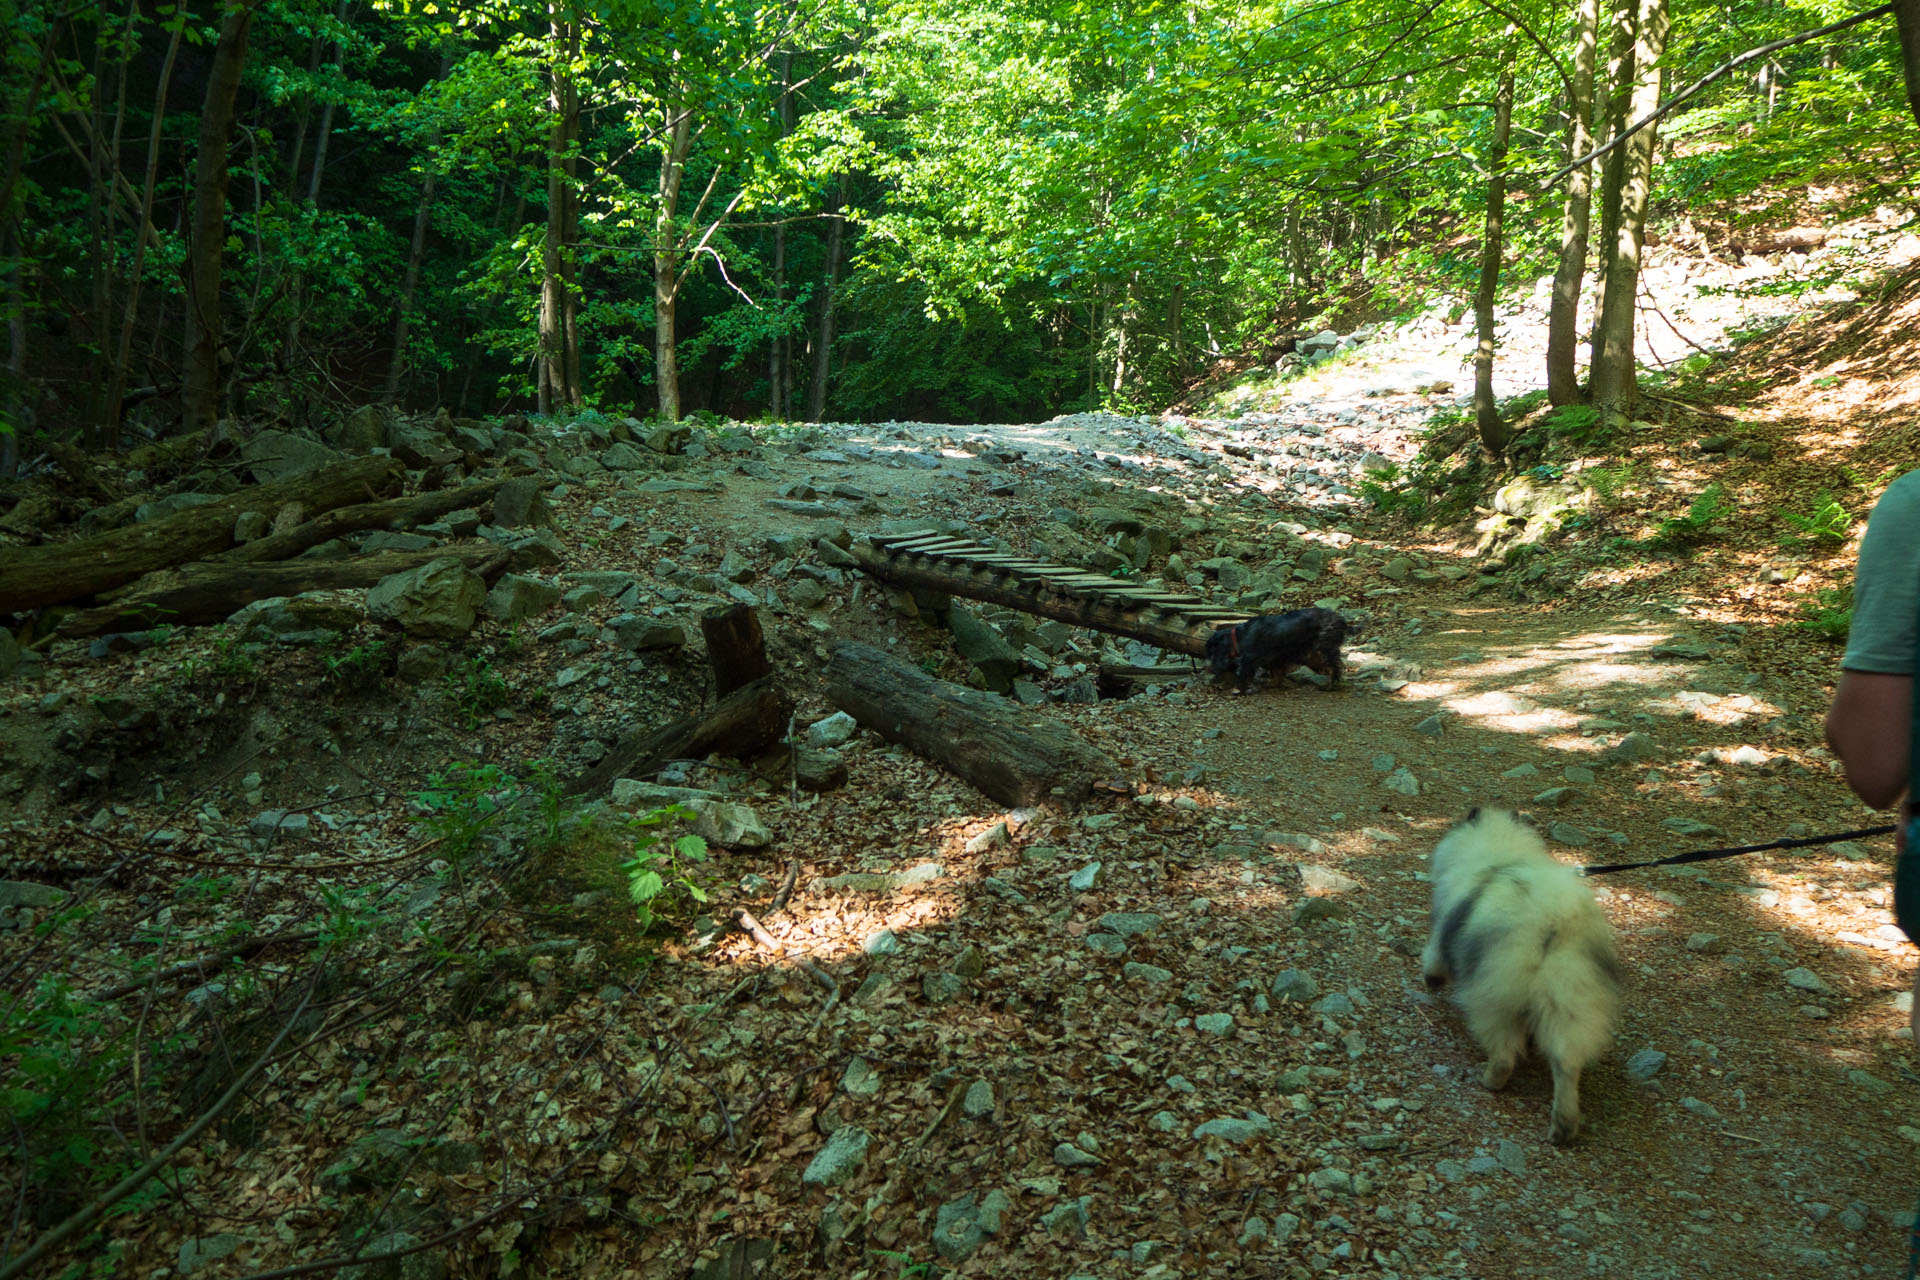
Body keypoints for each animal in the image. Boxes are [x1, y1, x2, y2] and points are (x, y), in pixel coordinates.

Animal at [1205, 610, 1359, 694]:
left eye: (1214, 651)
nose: (1212, 669)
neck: (1240, 636)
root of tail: (1341, 620)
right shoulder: (1276, 659)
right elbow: (1276, 674)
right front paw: (1273, 684)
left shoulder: (1250, 659)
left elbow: (1244, 674)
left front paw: (1239, 689)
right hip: (1313, 655)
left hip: (1324, 649)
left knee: (1334, 668)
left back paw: (1329, 686)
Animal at [1420, 805, 1628, 1143]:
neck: (1498, 854)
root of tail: (1553, 921)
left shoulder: (1442, 934)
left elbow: (1433, 958)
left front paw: (1431, 980)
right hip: (1570, 995)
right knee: (1566, 1062)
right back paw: (1563, 1127)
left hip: (1495, 993)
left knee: (1505, 1053)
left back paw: (1490, 1081)